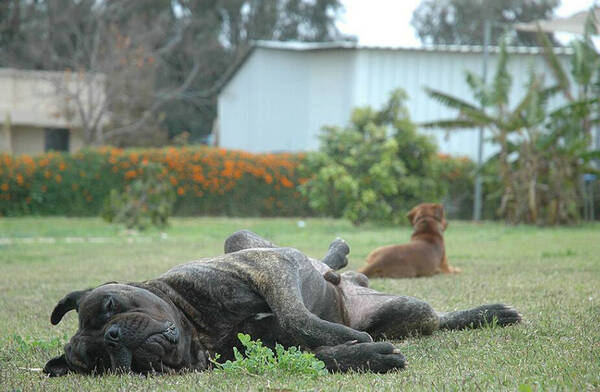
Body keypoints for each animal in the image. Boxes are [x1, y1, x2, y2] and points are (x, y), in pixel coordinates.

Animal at [44, 231, 520, 376]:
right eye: (102, 360)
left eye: (108, 305)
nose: (113, 336)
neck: (197, 328)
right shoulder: (264, 349)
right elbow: (321, 353)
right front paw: (365, 354)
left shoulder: (270, 269)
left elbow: (297, 315)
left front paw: (348, 336)